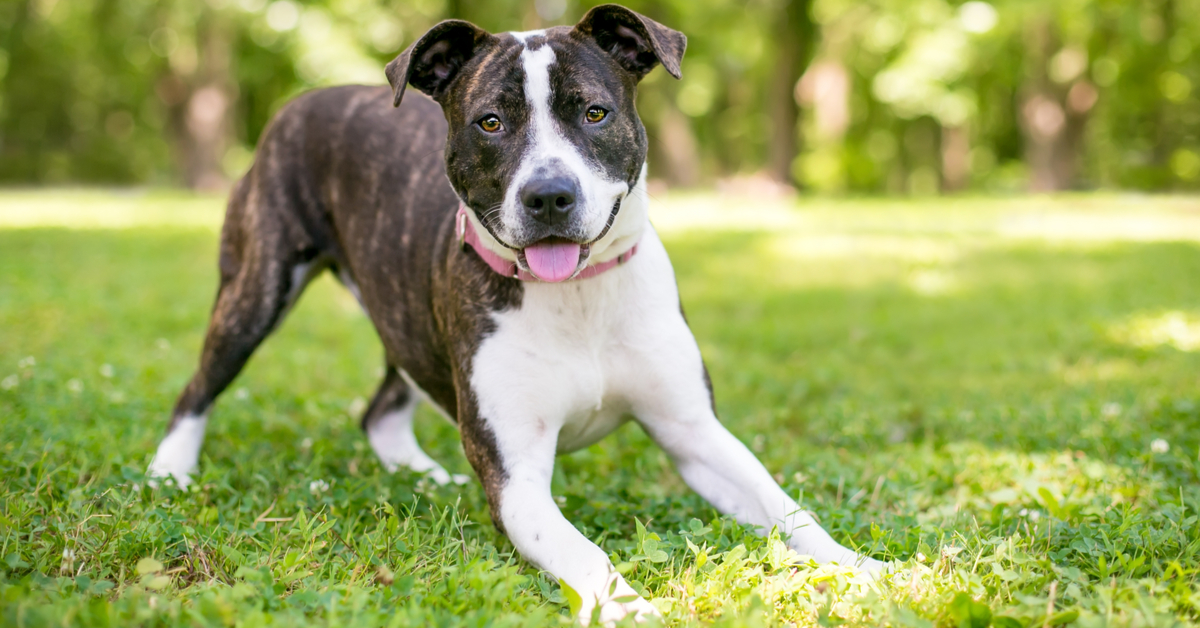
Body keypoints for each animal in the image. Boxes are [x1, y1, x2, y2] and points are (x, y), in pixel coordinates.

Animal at [147, 4, 883, 619]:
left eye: (594, 114)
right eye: (491, 123)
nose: (549, 195)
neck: (577, 296)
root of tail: (309, 99)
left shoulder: (693, 431)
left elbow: (785, 507)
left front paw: (863, 568)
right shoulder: (518, 481)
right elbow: (587, 553)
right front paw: (630, 609)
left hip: (403, 316)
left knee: (383, 407)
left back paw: (424, 475)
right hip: (257, 289)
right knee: (199, 387)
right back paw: (169, 473)